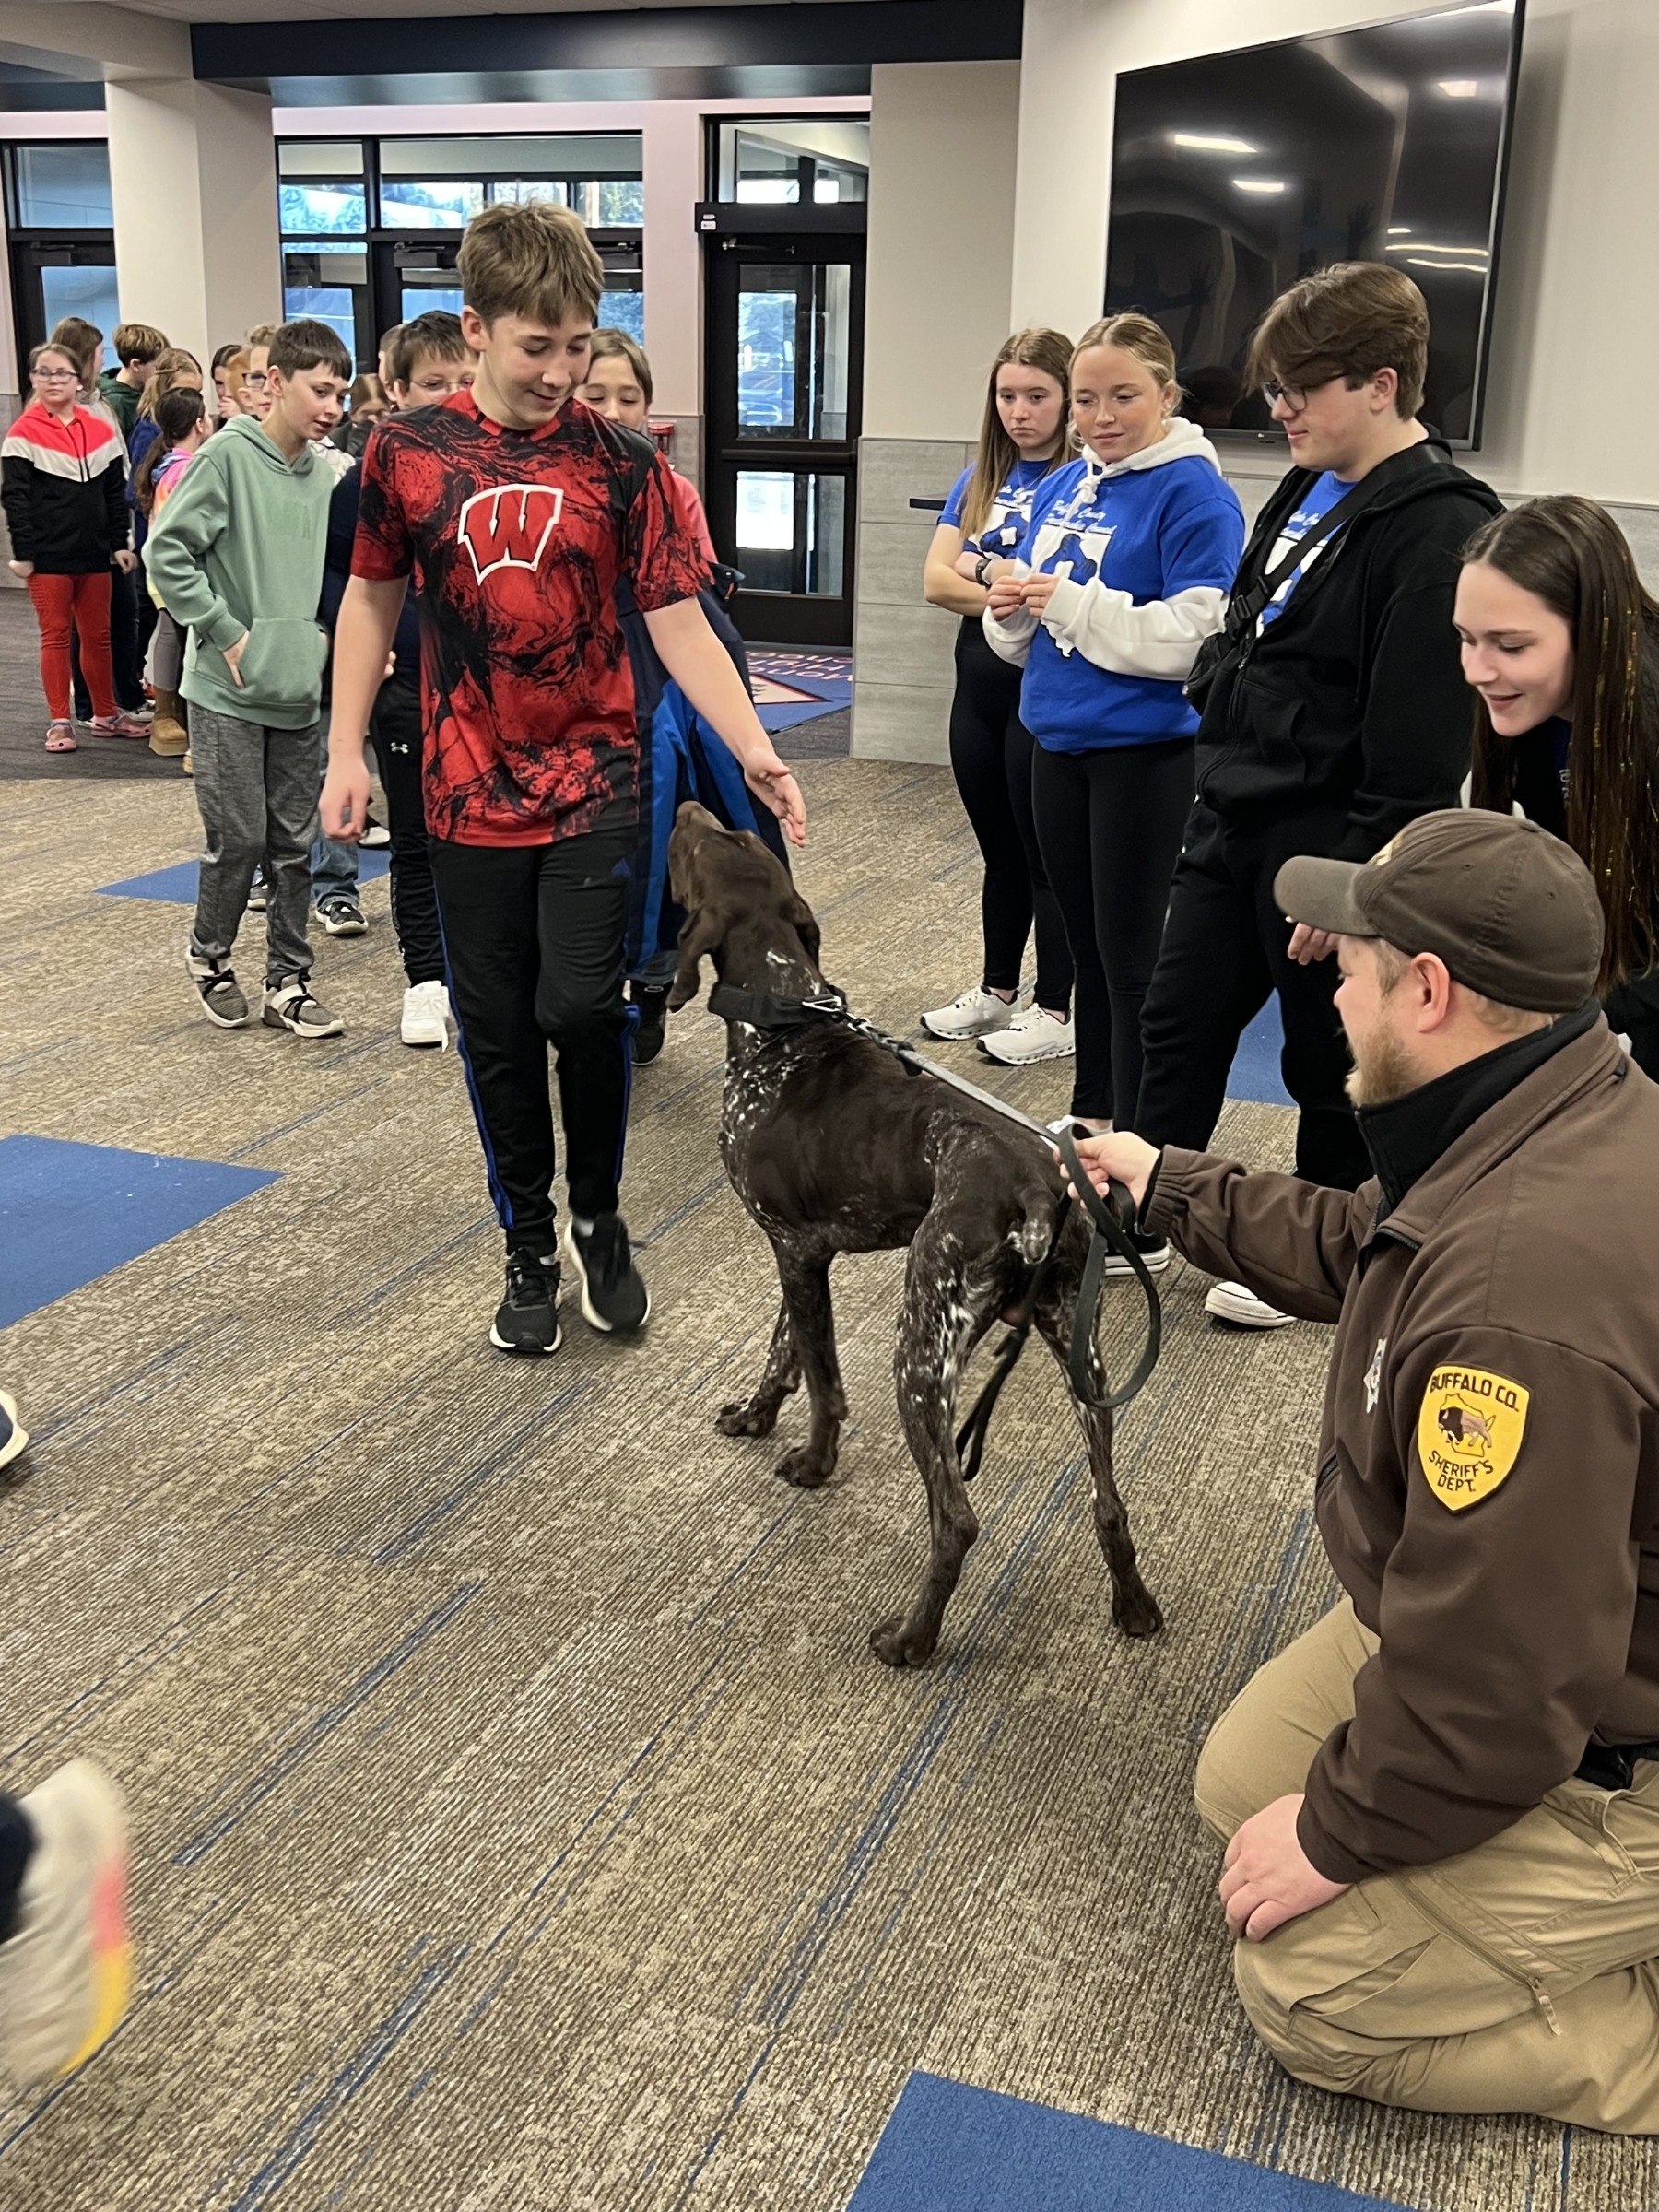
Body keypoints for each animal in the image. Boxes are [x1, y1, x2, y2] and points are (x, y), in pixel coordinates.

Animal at [664, 805, 1159, 1663]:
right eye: (739, 837)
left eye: (703, 844)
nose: (688, 807)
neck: (782, 1025)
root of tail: (1038, 1191)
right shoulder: (802, 1253)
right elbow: (784, 1348)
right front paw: (757, 1416)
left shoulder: (794, 1250)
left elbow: (822, 1378)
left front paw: (813, 1463)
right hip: (1079, 1350)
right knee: (1109, 1504)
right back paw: (1134, 1608)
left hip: (922, 1348)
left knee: (956, 1521)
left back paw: (911, 1639)